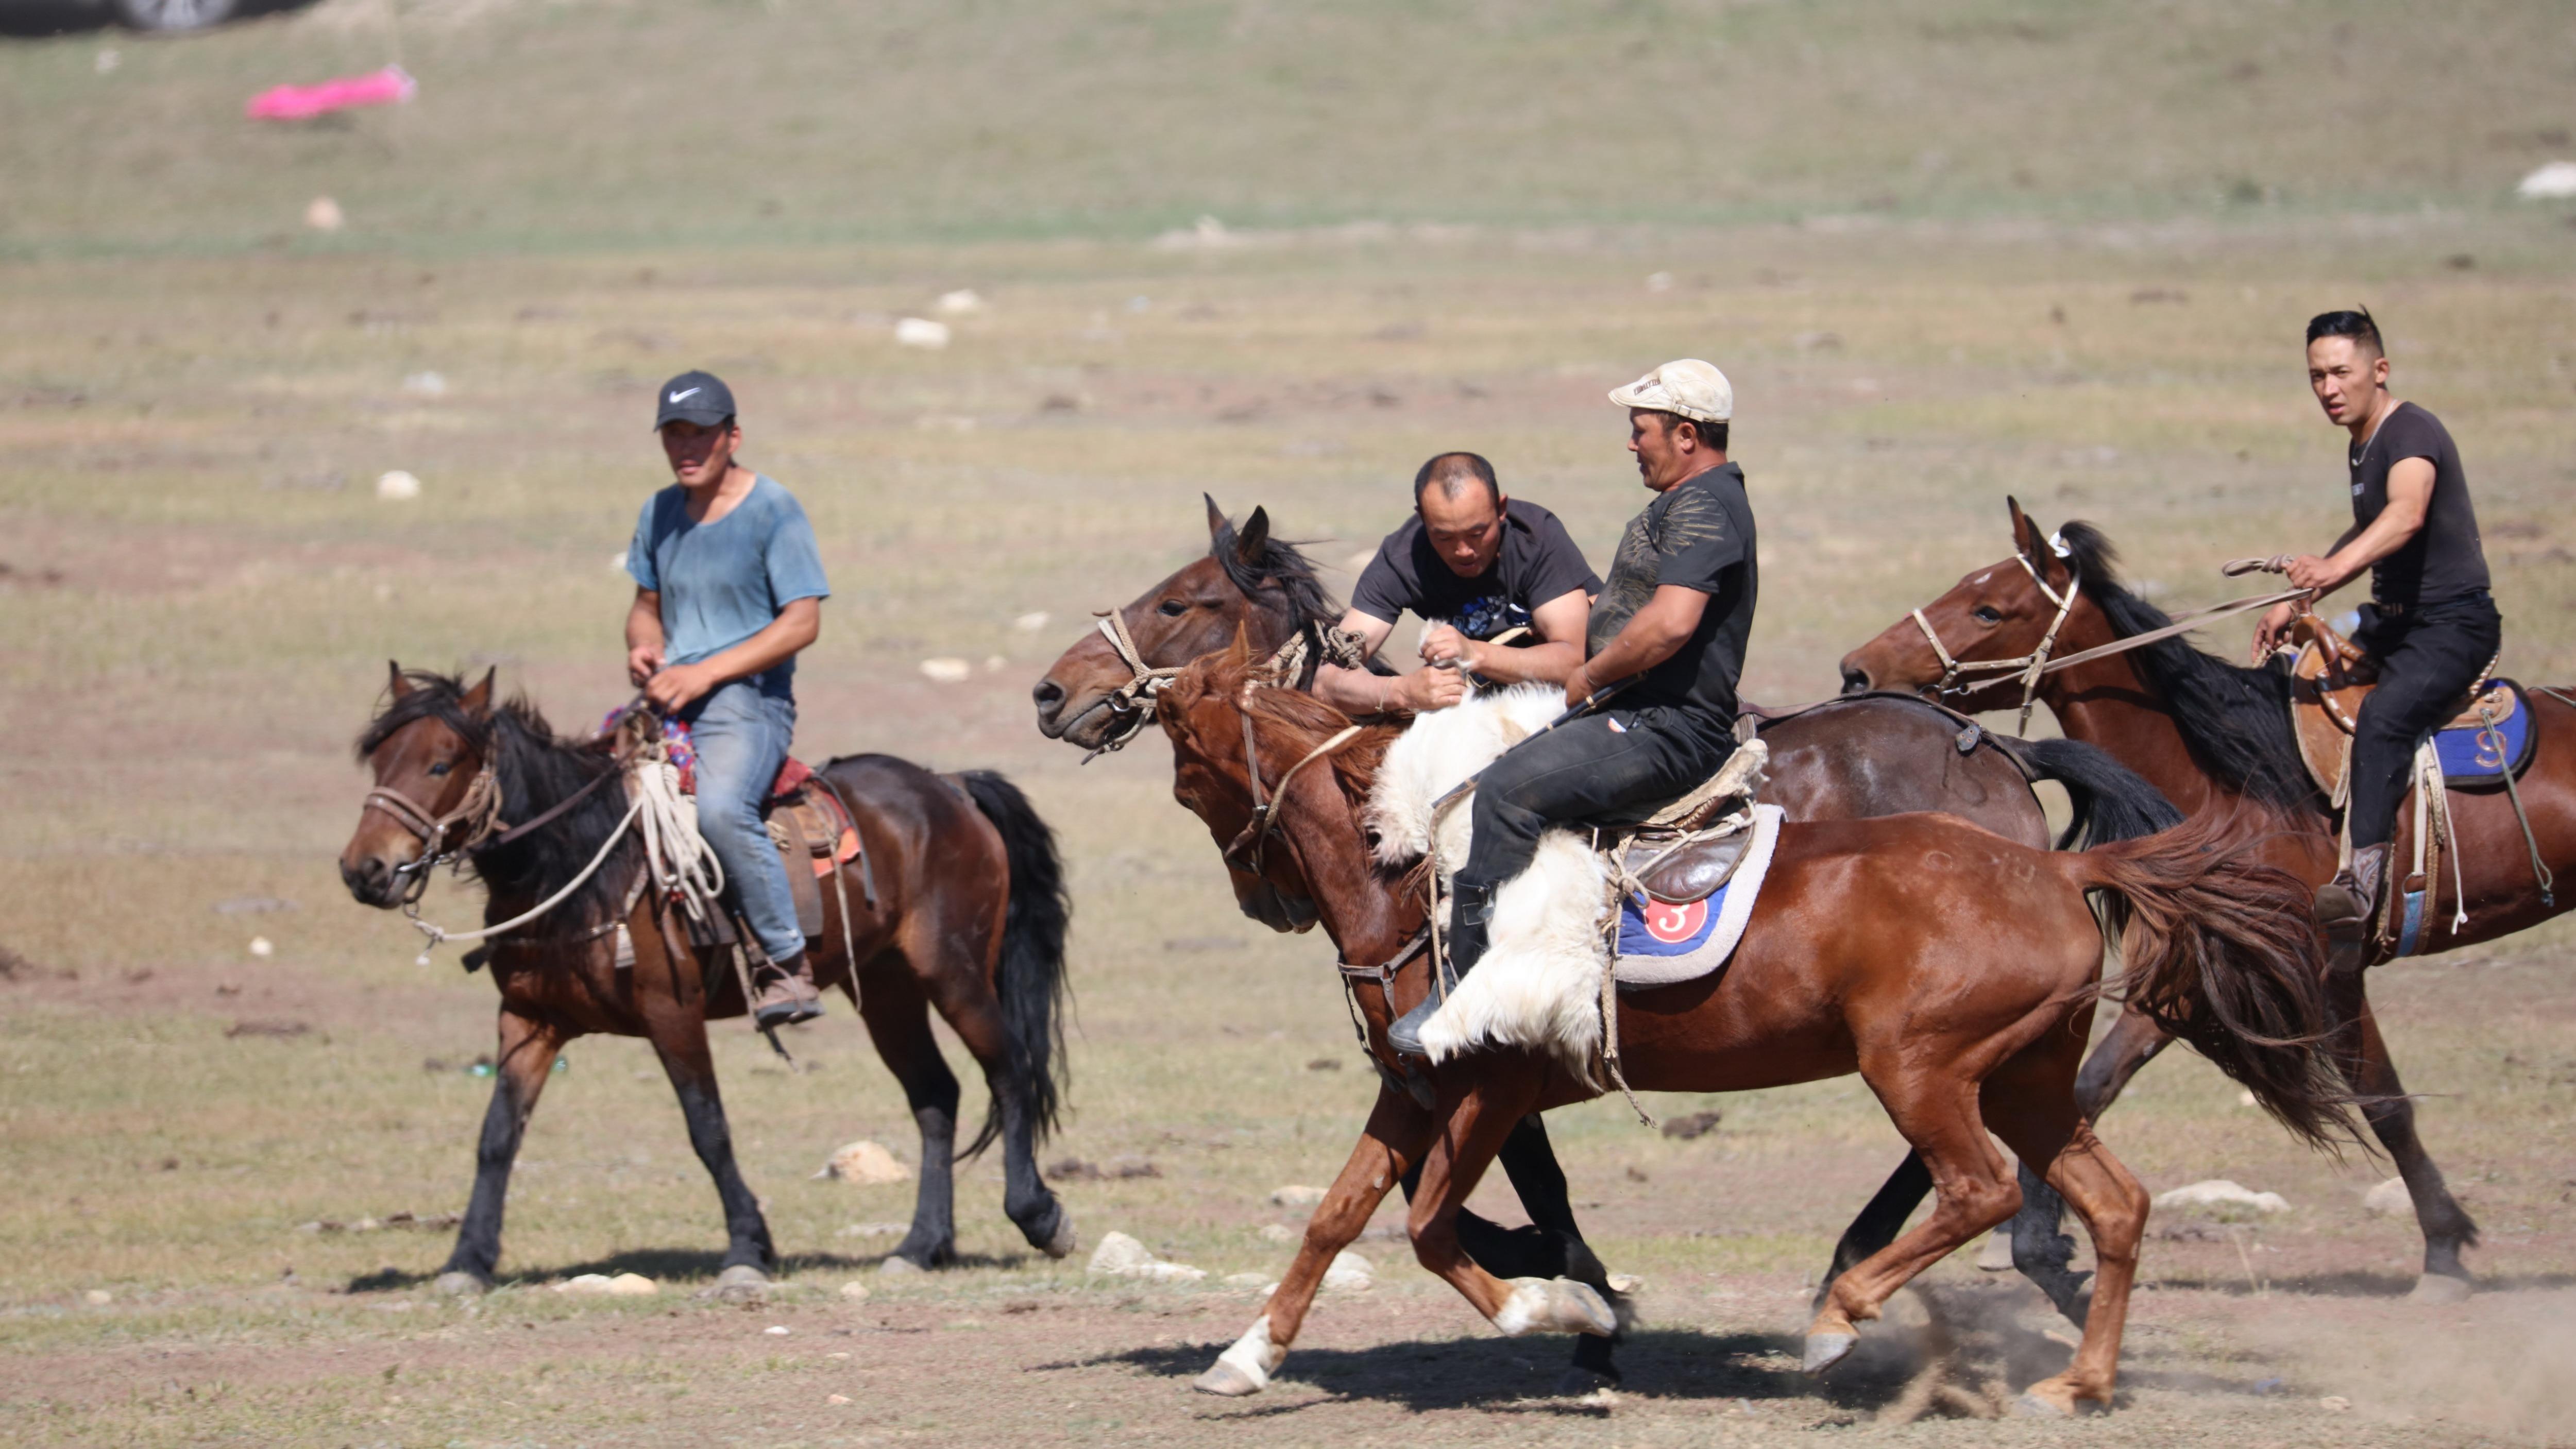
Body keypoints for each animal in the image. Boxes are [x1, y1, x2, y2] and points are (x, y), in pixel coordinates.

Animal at [340, 669, 1077, 1292]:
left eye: (441, 763)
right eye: (378, 760)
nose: (364, 869)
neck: (584, 861)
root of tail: (950, 786)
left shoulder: (672, 1012)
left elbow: (708, 1128)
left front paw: (748, 1248)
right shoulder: (529, 1019)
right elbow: (497, 1136)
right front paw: (467, 1258)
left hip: (953, 971)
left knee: (1008, 1068)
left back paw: (1038, 1216)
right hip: (886, 988)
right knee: (935, 1096)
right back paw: (921, 1245)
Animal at [1149, 638, 2360, 1421]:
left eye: (1183, 774)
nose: (1264, 900)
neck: (1418, 877)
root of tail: (2060, 865)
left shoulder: (1493, 1083)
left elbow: (1432, 1226)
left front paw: (1563, 1302)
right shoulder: (1414, 1085)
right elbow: (1337, 1215)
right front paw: (1247, 1355)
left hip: (1918, 1068)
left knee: (1978, 1187)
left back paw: (1841, 1313)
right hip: (2029, 1076)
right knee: (2113, 1202)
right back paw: (2079, 1381)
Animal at [1834, 502, 2576, 1302]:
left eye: (1988, 608)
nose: (1857, 670)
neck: (2234, 786)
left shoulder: (2314, 972)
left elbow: (2384, 1105)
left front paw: (2442, 1248)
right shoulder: (2205, 974)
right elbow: (2095, 1084)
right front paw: (2031, 1236)